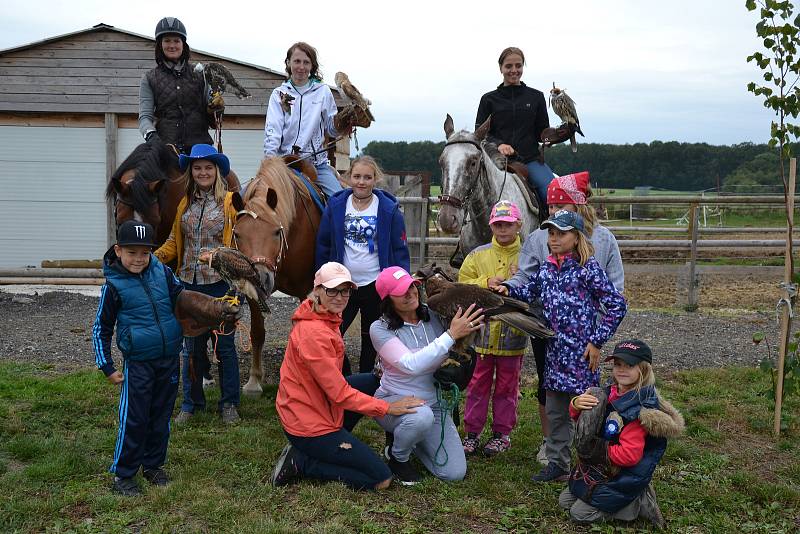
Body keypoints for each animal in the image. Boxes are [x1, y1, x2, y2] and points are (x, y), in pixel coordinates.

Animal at [231, 156, 322, 398]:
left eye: (276, 231)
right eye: (237, 234)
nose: (261, 278)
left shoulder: (305, 289)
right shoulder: (253, 292)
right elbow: (257, 332)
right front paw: (254, 381)